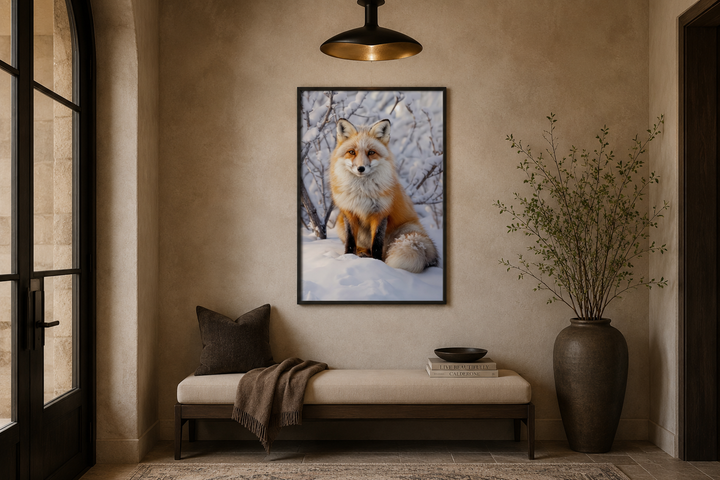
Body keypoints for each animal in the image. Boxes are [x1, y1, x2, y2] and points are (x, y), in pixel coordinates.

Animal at [329, 118, 439, 274]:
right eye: (351, 152)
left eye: (371, 152)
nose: (361, 168)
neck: (361, 191)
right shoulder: (349, 212)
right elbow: (350, 242)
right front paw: (347, 258)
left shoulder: (380, 213)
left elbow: (377, 244)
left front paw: (377, 264)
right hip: (339, 224)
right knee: (362, 246)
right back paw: (361, 253)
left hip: (406, 232)